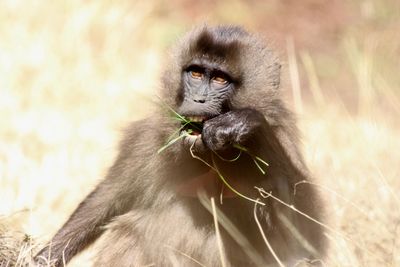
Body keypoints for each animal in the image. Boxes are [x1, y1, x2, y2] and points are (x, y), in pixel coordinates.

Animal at [36, 25, 326, 267]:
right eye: (196, 73)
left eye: (220, 79)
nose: (198, 100)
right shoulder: (150, 139)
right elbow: (107, 199)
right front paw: (41, 259)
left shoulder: (281, 131)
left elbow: (306, 237)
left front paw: (243, 126)